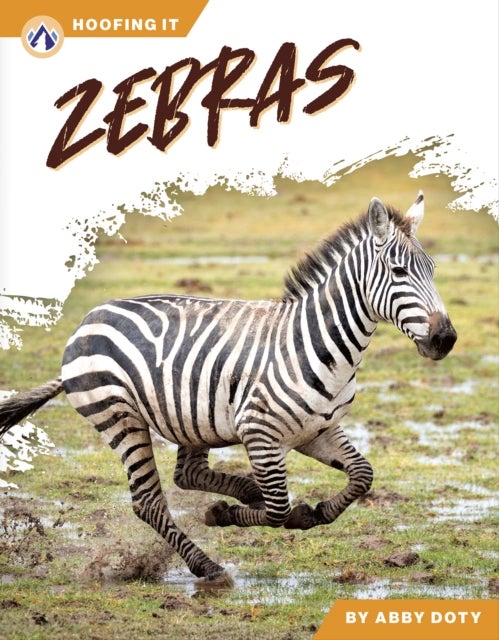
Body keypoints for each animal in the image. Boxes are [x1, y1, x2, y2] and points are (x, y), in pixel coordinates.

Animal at [0, 192, 457, 582]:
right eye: (399, 271)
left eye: (434, 270)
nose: (445, 339)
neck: (320, 347)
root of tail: (91, 317)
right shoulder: (261, 434)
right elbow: (278, 510)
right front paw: (229, 515)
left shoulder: (318, 430)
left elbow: (362, 475)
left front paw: (317, 510)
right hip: (120, 417)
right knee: (150, 501)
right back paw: (207, 565)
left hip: (190, 417)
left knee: (188, 474)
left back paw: (244, 493)